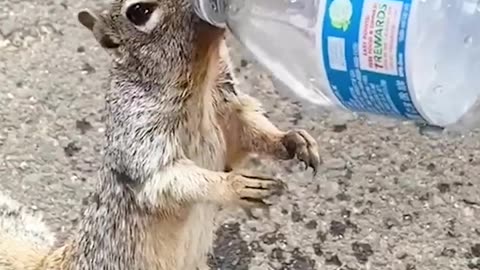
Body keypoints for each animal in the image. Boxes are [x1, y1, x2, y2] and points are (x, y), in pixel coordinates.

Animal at [0, 0, 322, 270]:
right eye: (139, 11)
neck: (200, 83)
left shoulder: (228, 108)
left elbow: (246, 133)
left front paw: (293, 141)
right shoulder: (139, 134)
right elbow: (167, 178)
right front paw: (234, 186)